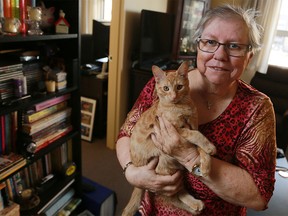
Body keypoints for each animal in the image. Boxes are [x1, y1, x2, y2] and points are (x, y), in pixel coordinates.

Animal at [123, 61, 216, 216]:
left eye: (179, 87)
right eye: (166, 88)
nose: (173, 96)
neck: (181, 107)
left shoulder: (193, 126)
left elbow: (200, 145)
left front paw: (207, 163)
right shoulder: (177, 130)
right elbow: (196, 136)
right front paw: (209, 148)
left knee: (180, 191)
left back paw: (196, 204)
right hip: (164, 167)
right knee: (172, 196)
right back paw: (194, 206)